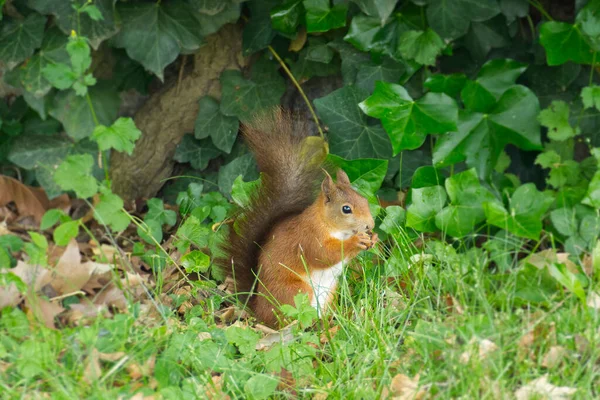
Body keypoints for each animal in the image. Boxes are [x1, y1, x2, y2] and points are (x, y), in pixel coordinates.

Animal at [218, 110, 378, 328]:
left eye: (364, 200)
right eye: (346, 209)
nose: (370, 224)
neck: (333, 227)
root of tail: (259, 309)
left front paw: (373, 238)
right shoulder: (308, 237)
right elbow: (324, 254)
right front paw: (356, 241)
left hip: (328, 293)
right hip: (296, 292)